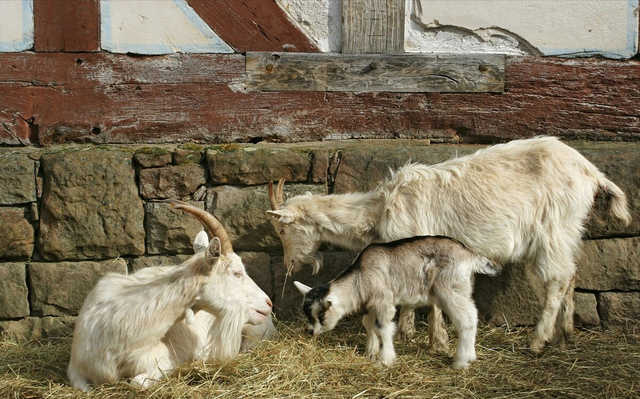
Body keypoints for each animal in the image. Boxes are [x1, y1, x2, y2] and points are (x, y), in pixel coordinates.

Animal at [268, 137, 632, 354]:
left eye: (283, 229)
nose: (287, 265)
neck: (380, 209)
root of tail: (591, 172)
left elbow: (429, 302)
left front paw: (434, 341)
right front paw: (413, 334)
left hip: (553, 229)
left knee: (556, 280)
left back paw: (537, 340)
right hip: (570, 230)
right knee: (571, 275)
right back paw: (565, 333)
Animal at [294, 236, 500, 370]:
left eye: (321, 314)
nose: (311, 331)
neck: (361, 276)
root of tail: (471, 255)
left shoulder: (384, 302)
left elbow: (382, 328)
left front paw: (385, 359)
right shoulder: (371, 305)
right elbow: (368, 325)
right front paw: (370, 353)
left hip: (449, 289)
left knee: (465, 320)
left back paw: (461, 362)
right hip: (462, 289)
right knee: (472, 315)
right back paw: (471, 356)